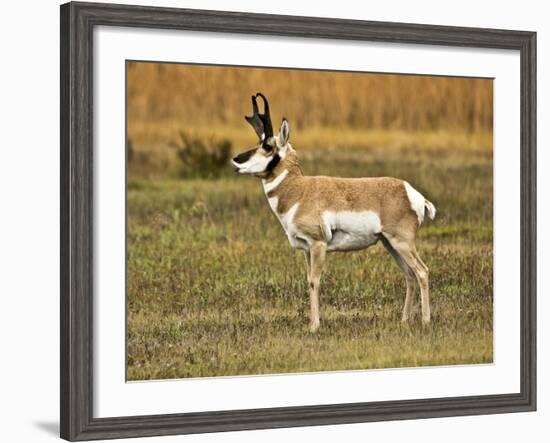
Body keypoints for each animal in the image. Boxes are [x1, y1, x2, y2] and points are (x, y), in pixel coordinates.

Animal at [231, 93, 438, 332]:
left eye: (267, 146)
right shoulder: (306, 249)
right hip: (390, 244)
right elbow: (308, 280)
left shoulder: (318, 244)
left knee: (422, 271)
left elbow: (315, 281)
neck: (300, 190)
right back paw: (404, 321)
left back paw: (425, 321)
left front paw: (315, 326)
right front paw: (311, 323)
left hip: (401, 242)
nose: (236, 159)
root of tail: (411, 192)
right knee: (409, 275)